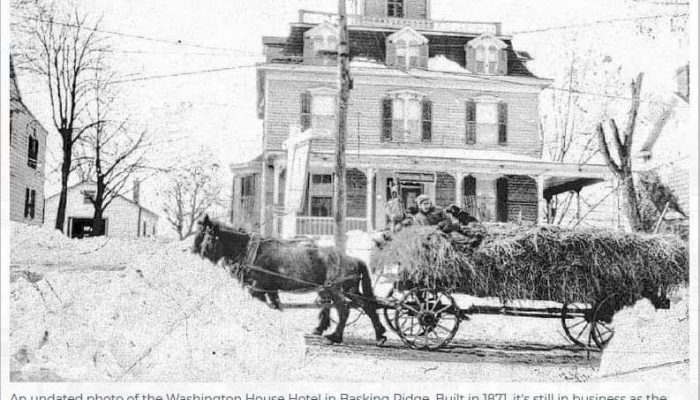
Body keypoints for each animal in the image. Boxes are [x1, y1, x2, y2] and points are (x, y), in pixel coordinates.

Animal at [193, 216, 388, 344]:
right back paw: (380, 335)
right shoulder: (270, 289)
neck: (251, 250)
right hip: (350, 289)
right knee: (367, 305)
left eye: (206, 237)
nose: (195, 254)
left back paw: (336, 336)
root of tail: (352, 258)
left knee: (344, 309)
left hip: (335, 289)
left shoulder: (258, 288)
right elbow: (276, 306)